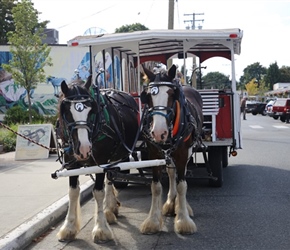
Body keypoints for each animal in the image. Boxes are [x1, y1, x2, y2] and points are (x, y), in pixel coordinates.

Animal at [56, 75, 140, 242]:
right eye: (66, 112)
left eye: (91, 110)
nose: (83, 148)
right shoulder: (71, 164)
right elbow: (73, 192)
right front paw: (68, 227)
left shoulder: (100, 161)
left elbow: (98, 192)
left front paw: (101, 228)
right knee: (110, 177)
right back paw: (110, 208)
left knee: (109, 179)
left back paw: (108, 209)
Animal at [139, 64, 203, 234]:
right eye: (147, 96)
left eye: (171, 94)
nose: (158, 132)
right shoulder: (154, 154)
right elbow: (156, 187)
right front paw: (153, 221)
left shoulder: (182, 154)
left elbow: (182, 186)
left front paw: (183, 219)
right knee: (172, 173)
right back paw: (171, 203)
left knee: (182, 176)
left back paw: (183, 206)